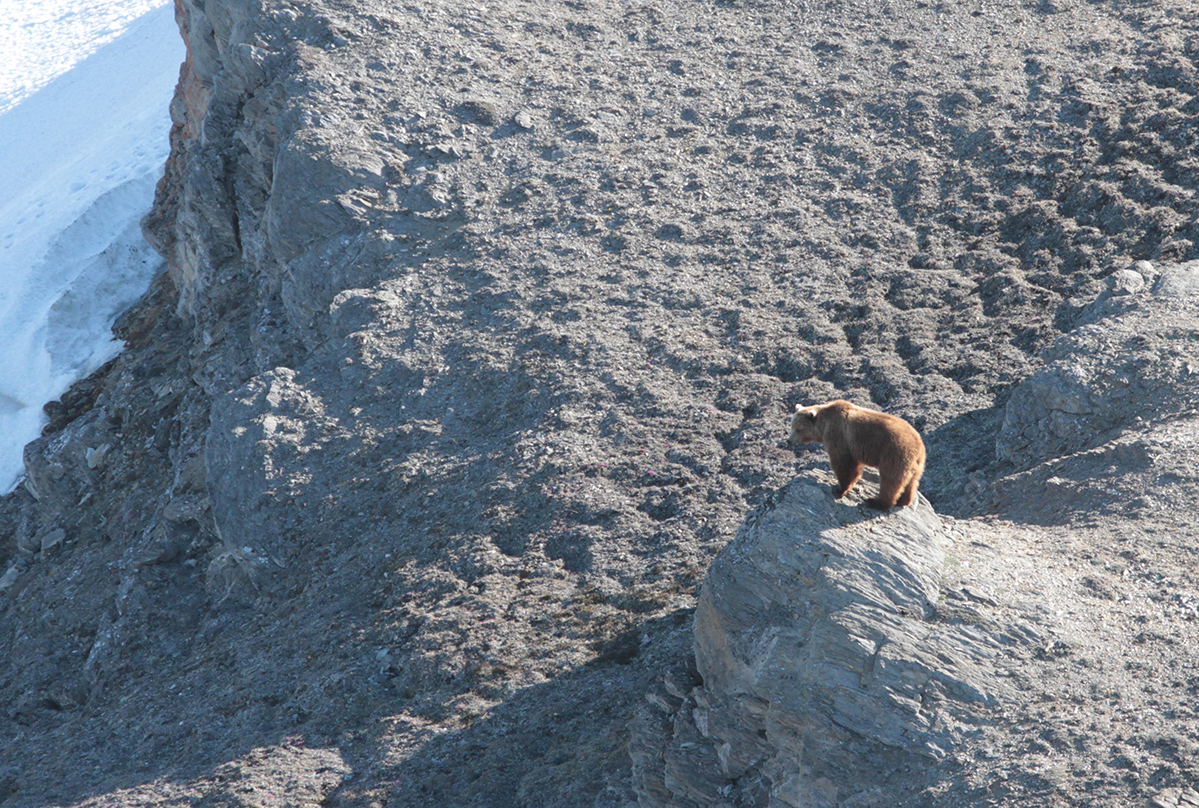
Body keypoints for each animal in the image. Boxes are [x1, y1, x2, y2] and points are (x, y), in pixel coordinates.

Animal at [786, 398, 925, 505]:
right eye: (792, 426)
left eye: (798, 429)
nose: (789, 441)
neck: (823, 426)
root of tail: (918, 445)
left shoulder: (838, 435)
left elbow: (843, 463)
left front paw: (840, 488)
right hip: (917, 463)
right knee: (912, 481)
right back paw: (904, 500)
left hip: (893, 452)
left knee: (890, 479)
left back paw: (878, 502)